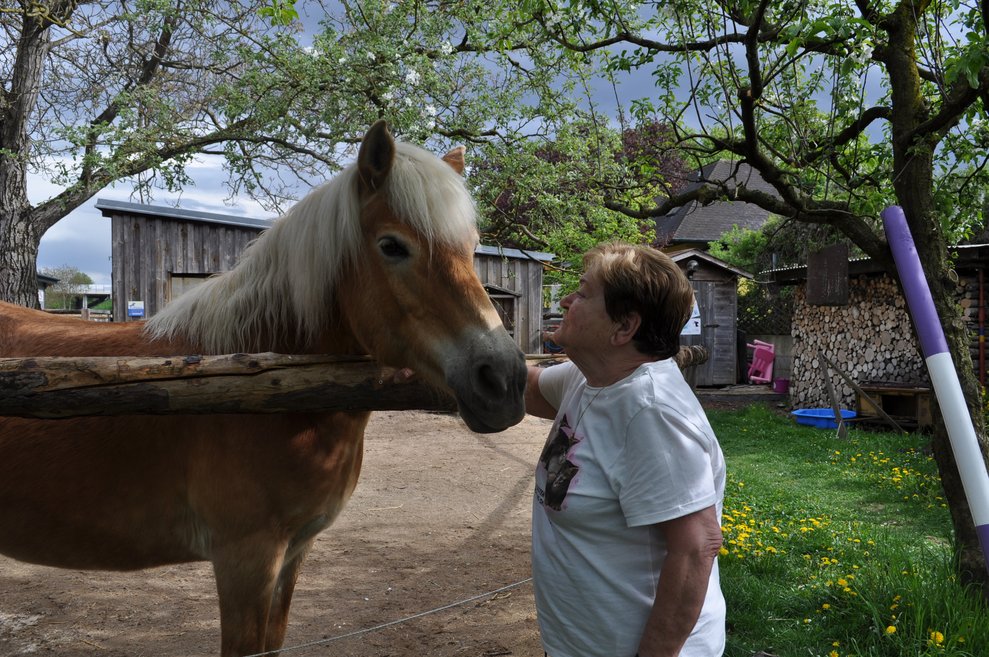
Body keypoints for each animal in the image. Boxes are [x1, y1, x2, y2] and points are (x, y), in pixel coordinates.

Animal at [0, 121, 527, 656]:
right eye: (392, 246)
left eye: (471, 245)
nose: (504, 379)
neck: (263, 381)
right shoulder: (246, 562)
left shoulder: (293, 554)